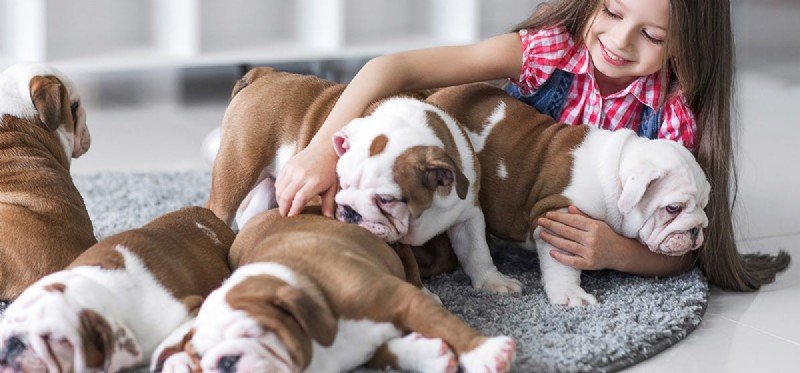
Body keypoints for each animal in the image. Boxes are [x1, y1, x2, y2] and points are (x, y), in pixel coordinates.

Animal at [155, 206, 516, 372]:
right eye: (199, 361)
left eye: (255, 332)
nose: (225, 362)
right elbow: (386, 353)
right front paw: (426, 354)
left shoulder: (400, 300)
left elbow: (446, 325)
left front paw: (484, 352)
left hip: (390, 235)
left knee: (410, 263)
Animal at [203, 68, 520, 292]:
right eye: (340, 186)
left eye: (387, 199)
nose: (350, 211)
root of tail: (263, 75)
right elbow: (409, 265)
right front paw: (424, 292)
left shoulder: (468, 213)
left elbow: (476, 249)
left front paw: (493, 281)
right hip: (238, 167)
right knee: (220, 208)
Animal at [428, 83, 708, 306]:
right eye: (673, 208)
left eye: (704, 205)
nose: (697, 228)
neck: (611, 174)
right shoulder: (559, 218)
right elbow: (562, 265)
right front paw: (571, 294)